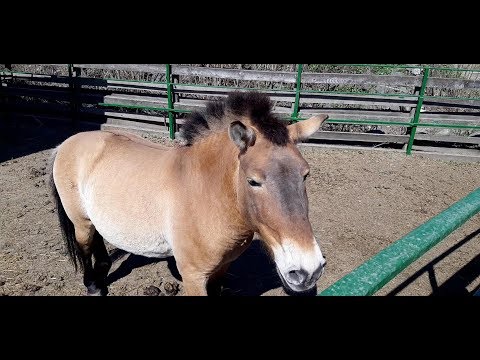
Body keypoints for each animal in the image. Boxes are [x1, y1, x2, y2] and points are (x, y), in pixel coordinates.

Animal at [48, 90, 328, 296]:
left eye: (305, 174)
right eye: (253, 181)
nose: (308, 270)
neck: (206, 194)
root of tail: (67, 142)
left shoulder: (221, 269)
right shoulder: (193, 276)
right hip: (80, 221)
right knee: (86, 246)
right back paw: (94, 285)